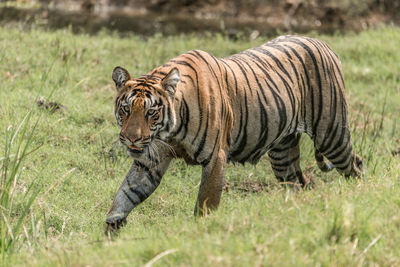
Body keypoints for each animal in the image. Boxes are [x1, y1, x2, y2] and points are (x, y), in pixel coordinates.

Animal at [104, 35, 364, 232]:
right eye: (126, 109)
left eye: (151, 112)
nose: (132, 138)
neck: (171, 132)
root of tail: (322, 42)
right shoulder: (150, 160)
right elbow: (125, 194)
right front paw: (110, 232)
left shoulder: (215, 158)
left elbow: (205, 204)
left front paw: (201, 233)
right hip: (283, 153)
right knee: (299, 183)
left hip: (331, 133)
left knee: (356, 165)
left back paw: (359, 197)